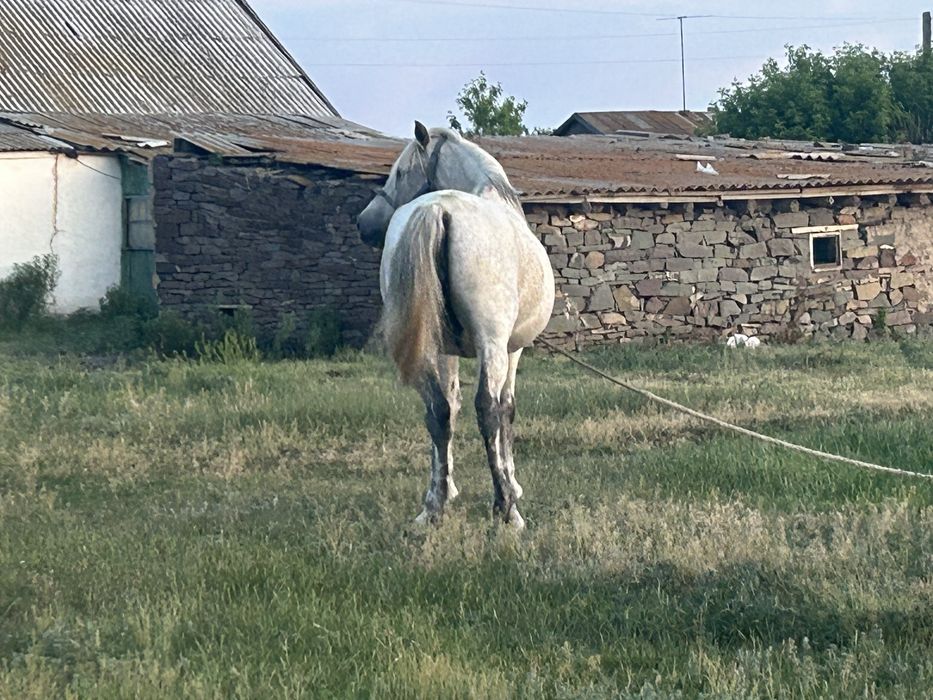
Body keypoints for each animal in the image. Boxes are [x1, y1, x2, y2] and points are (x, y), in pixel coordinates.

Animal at [357, 123, 555, 529]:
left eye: (401, 172)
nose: (363, 225)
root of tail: (438, 208)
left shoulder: (447, 350)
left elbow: (450, 406)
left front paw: (446, 489)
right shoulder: (512, 349)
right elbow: (506, 409)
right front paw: (512, 484)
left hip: (430, 346)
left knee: (437, 411)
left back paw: (432, 509)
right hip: (492, 346)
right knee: (487, 411)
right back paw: (507, 511)